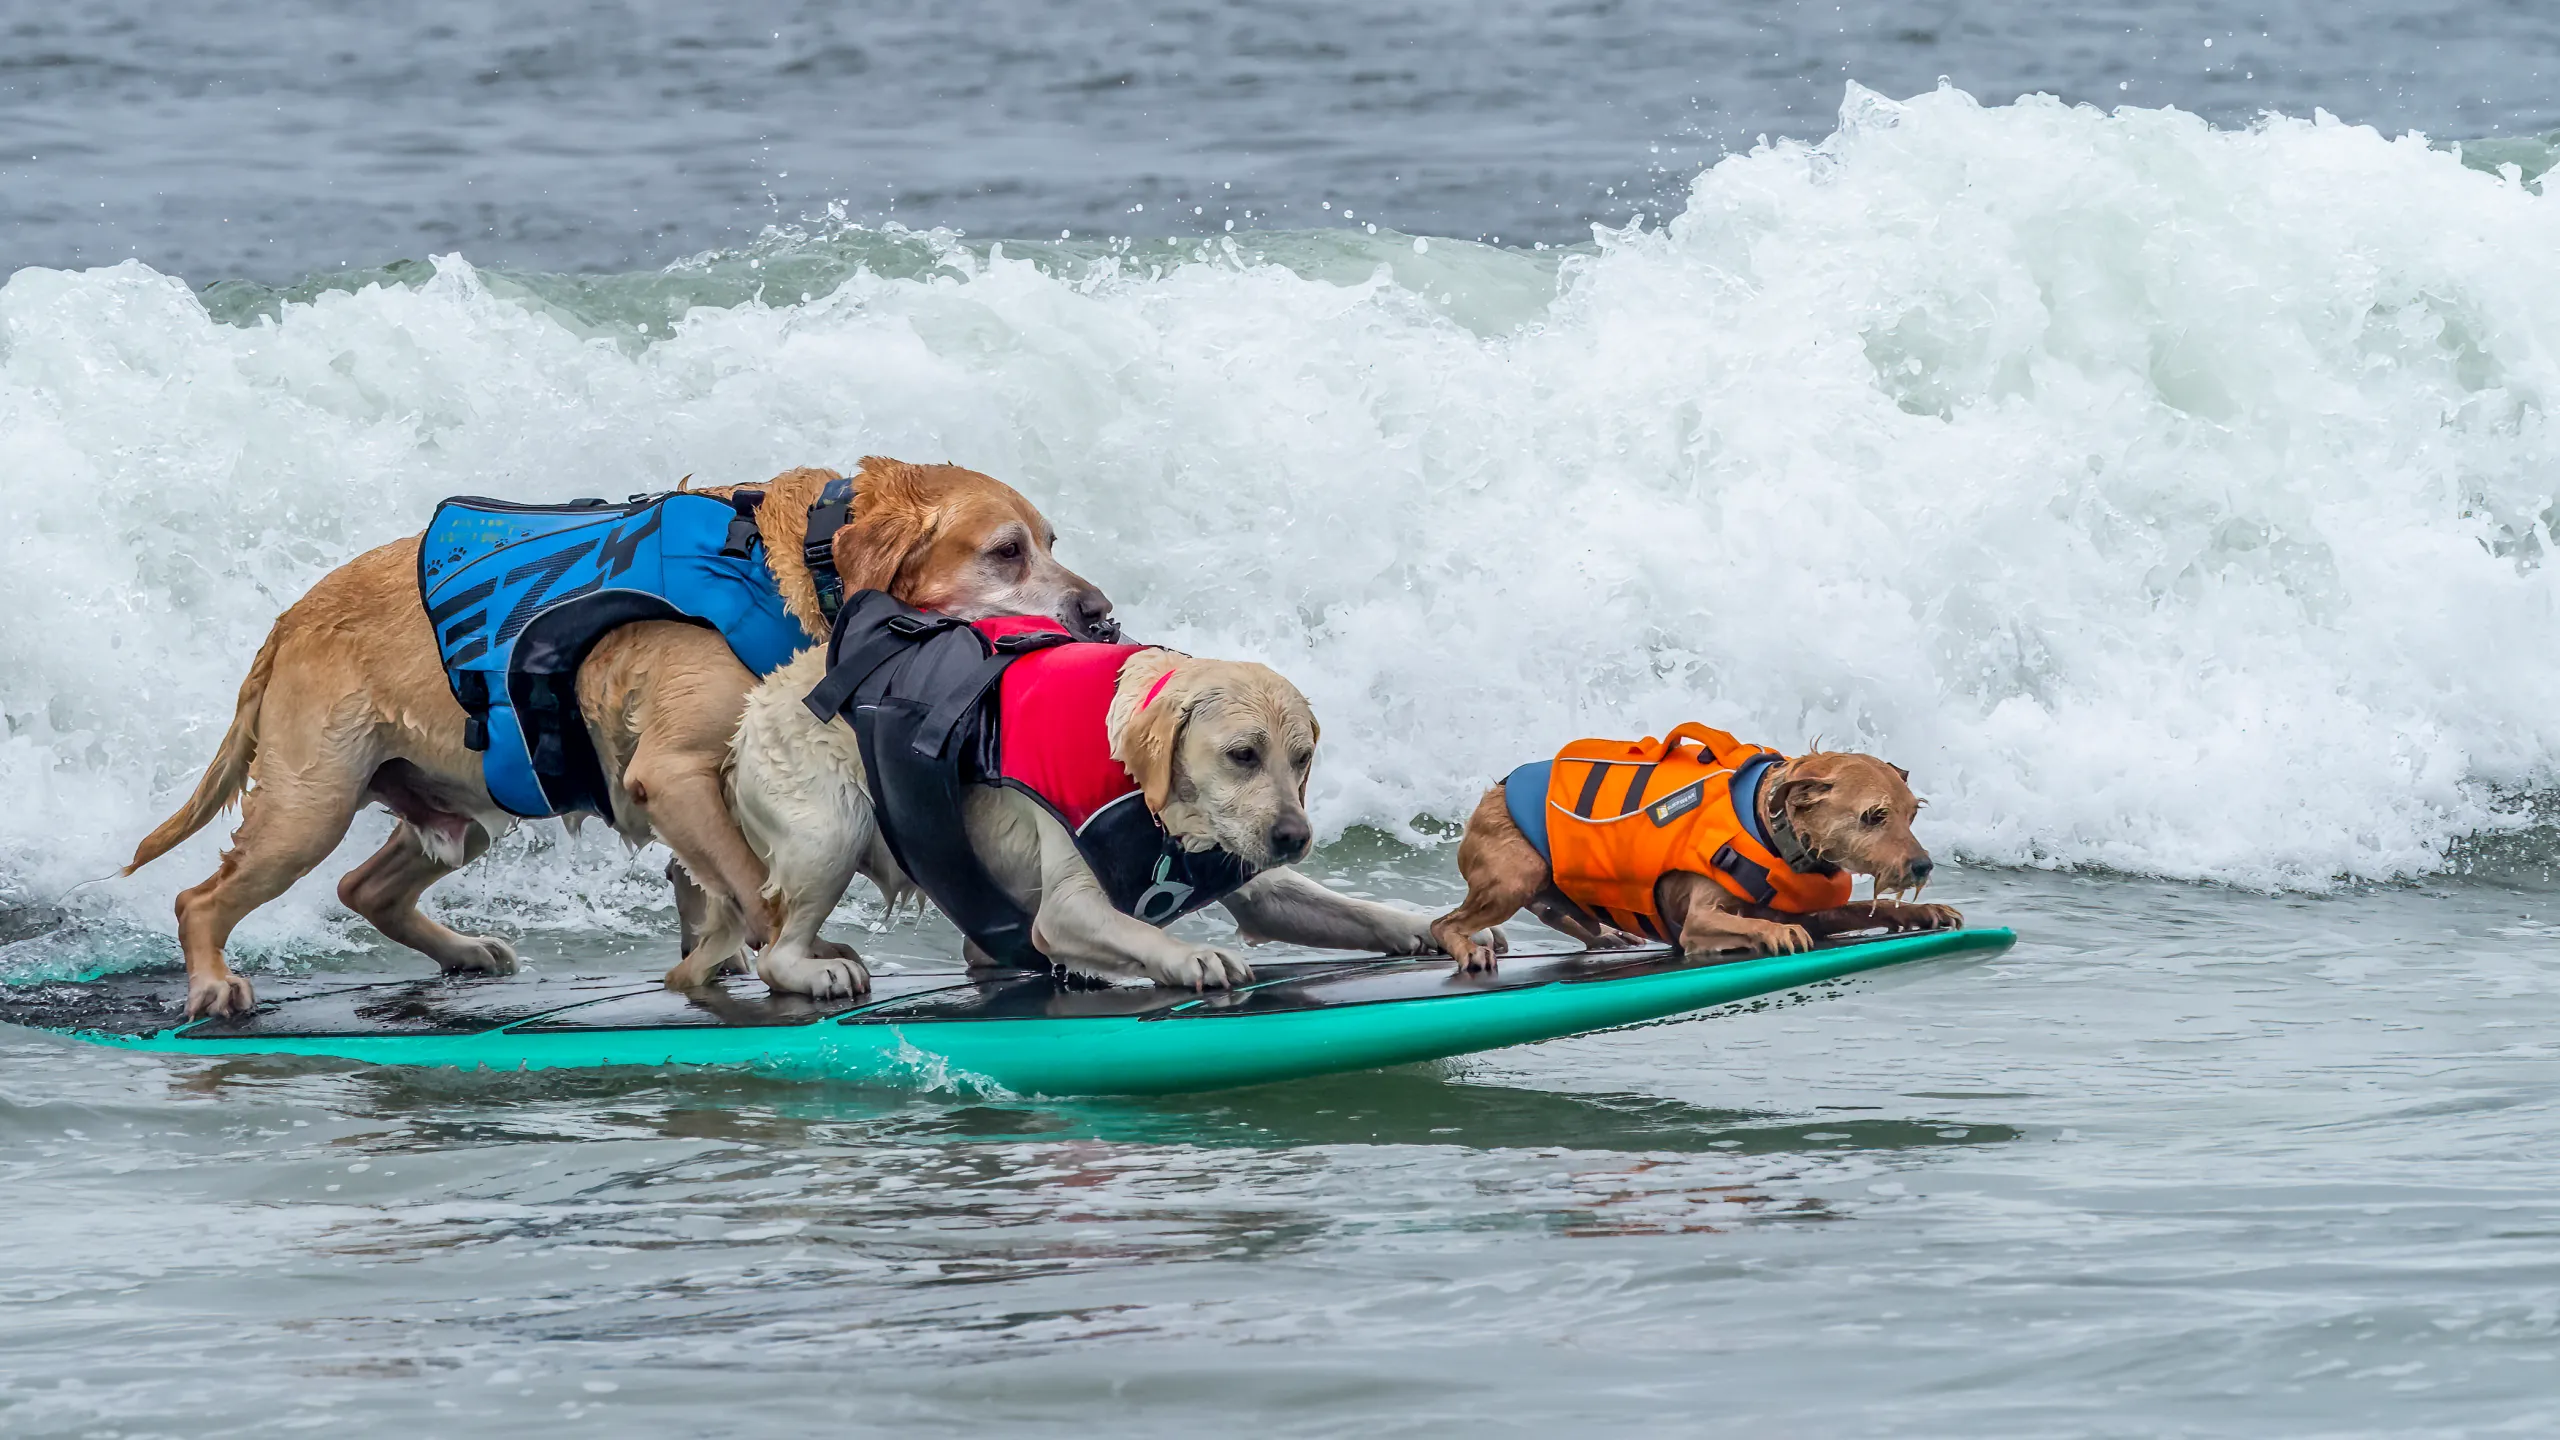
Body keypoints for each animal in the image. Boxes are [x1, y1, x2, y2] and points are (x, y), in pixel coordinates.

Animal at [1423, 722, 1955, 968]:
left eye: (1912, 813)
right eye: (1873, 815)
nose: (1922, 866)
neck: (1766, 826)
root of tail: (1494, 789)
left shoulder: (1817, 912)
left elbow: (1866, 910)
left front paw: (1921, 912)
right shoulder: (1698, 922)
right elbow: (1746, 924)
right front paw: (1777, 933)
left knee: (1560, 912)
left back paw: (1607, 936)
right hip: (1516, 875)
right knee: (1443, 923)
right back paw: (1469, 949)